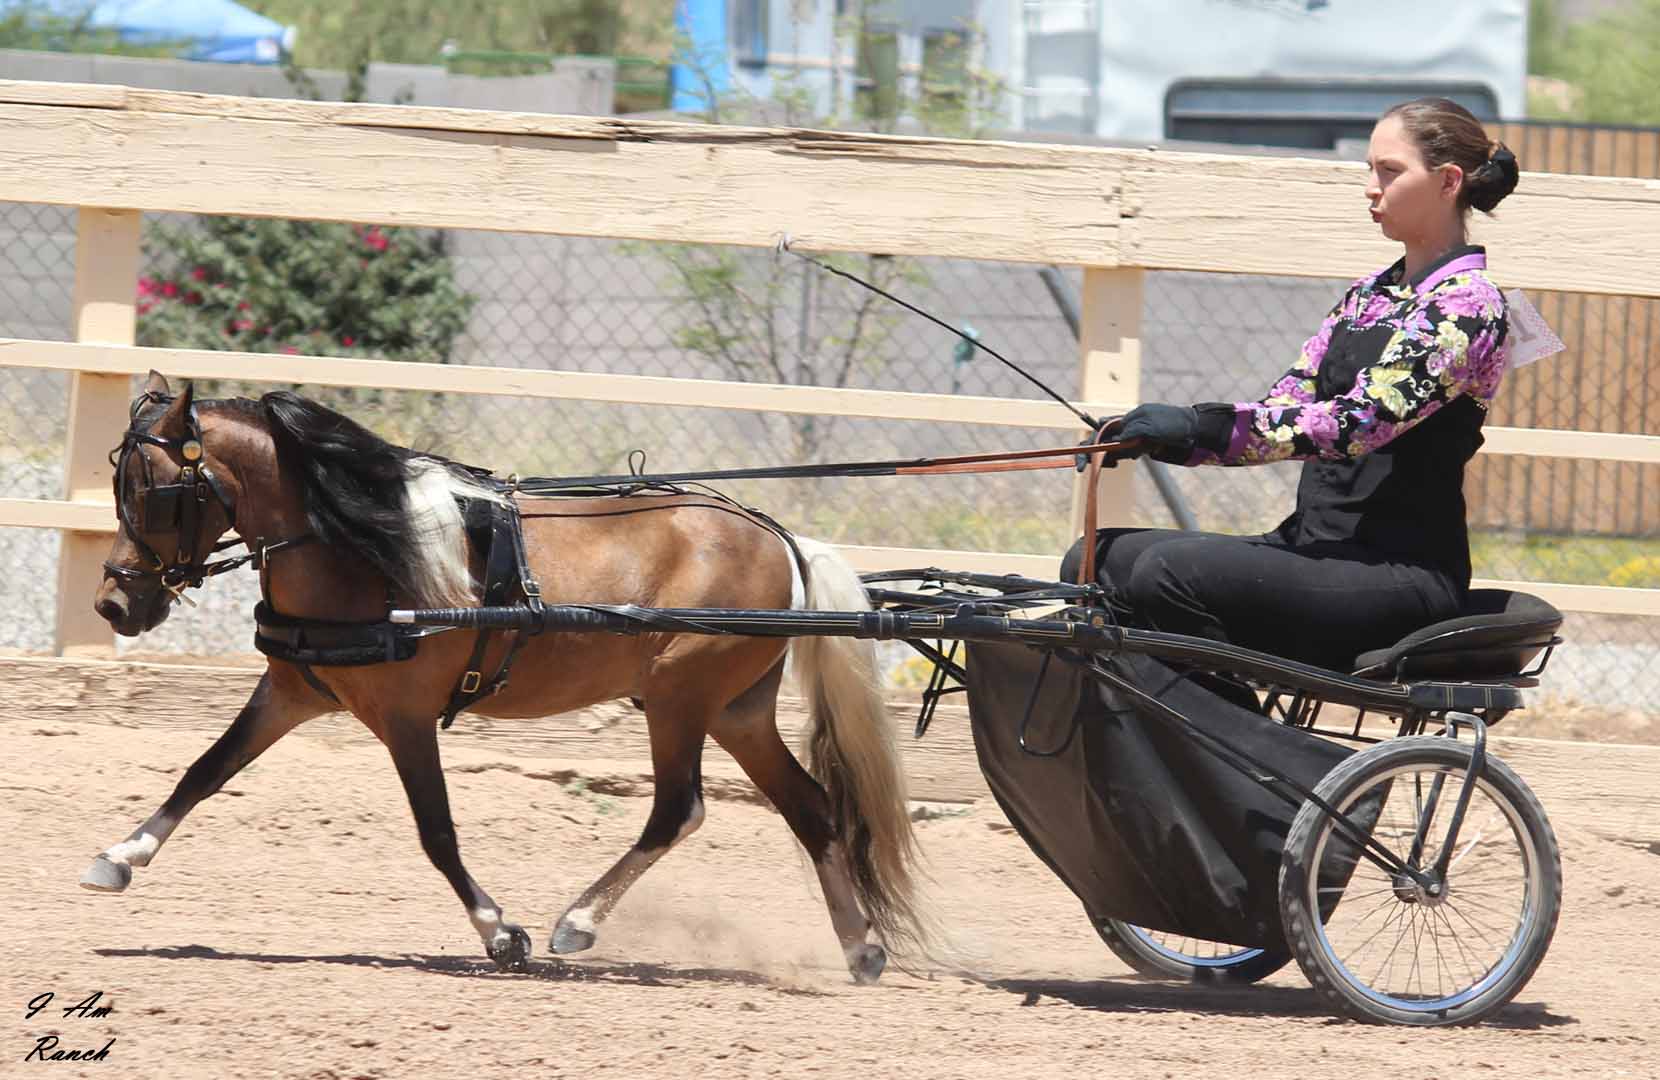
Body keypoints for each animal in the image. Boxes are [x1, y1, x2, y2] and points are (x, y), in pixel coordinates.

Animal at [81, 372, 923, 983]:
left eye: (153, 493)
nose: (114, 603)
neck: (363, 550)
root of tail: (782, 538)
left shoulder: (407, 720)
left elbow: (437, 831)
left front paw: (501, 934)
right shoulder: (290, 693)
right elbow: (203, 772)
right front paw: (119, 858)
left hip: (681, 698)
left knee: (677, 809)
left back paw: (576, 923)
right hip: (734, 709)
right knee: (810, 808)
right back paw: (860, 947)